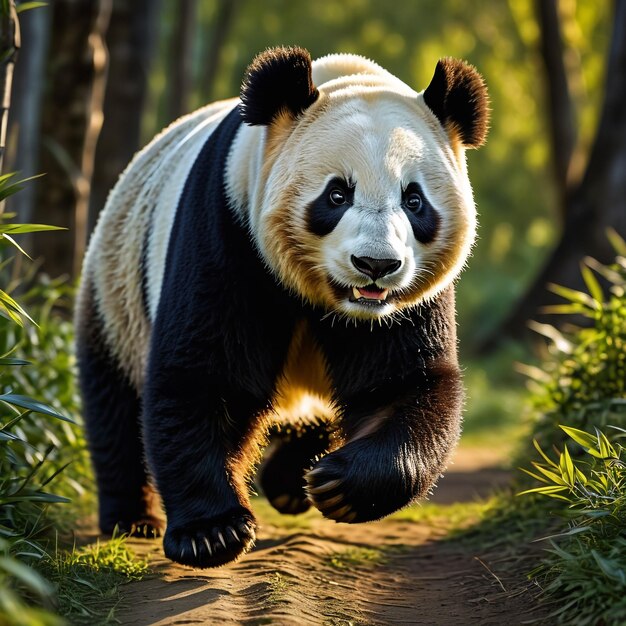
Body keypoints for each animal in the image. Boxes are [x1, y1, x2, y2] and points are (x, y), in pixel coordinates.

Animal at [74, 46, 488, 568]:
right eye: (337, 193)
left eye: (414, 201)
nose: (375, 264)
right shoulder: (229, 230)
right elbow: (203, 372)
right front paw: (213, 532)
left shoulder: (409, 300)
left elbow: (401, 384)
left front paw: (341, 486)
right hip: (116, 287)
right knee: (114, 403)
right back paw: (131, 518)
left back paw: (293, 482)